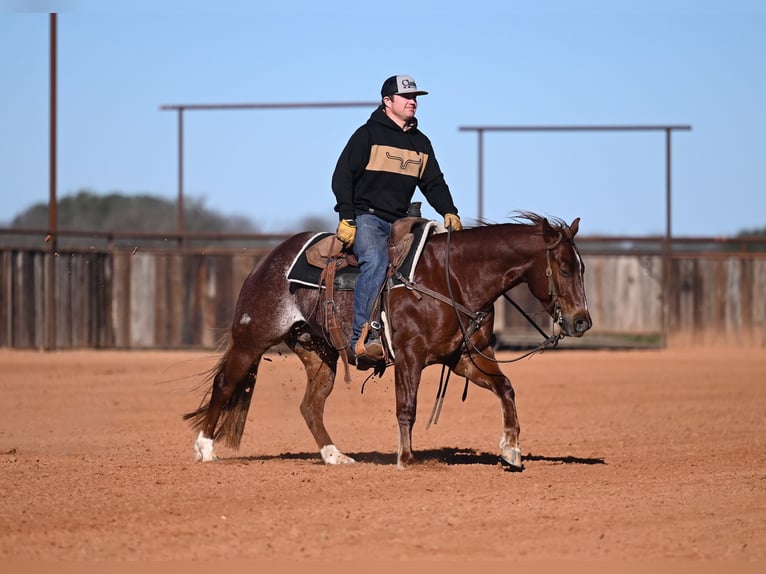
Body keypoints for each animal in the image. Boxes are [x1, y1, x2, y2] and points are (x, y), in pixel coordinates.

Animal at [183, 211, 591, 470]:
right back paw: (205, 449)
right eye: (564, 268)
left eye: (582, 267)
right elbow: (406, 407)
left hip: (319, 353)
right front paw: (407, 459)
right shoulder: (411, 356)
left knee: (310, 406)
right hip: (252, 338)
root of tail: (266, 261)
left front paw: (511, 451)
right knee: (225, 384)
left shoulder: (463, 357)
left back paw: (334, 456)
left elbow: (505, 388)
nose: (582, 321)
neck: (452, 278)